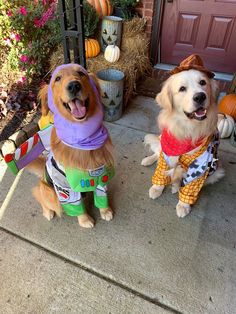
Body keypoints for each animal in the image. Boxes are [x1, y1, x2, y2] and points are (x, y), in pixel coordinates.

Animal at [28, 63, 114, 227]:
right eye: (58, 78)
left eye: (81, 73)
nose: (74, 86)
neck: (83, 141)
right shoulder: (64, 187)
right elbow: (75, 204)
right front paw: (85, 220)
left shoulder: (101, 173)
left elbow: (102, 194)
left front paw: (105, 211)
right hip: (48, 191)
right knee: (40, 195)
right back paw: (48, 212)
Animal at [142, 55, 225, 218]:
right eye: (182, 89)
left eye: (203, 82)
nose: (200, 96)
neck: (187, 128)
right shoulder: (167, 152)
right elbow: (161, 168)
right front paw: (156, 188)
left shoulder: (200, 165)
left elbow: (189, 186)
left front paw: (183, 205)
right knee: (157, 151)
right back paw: (147, 160)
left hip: (215, 173)